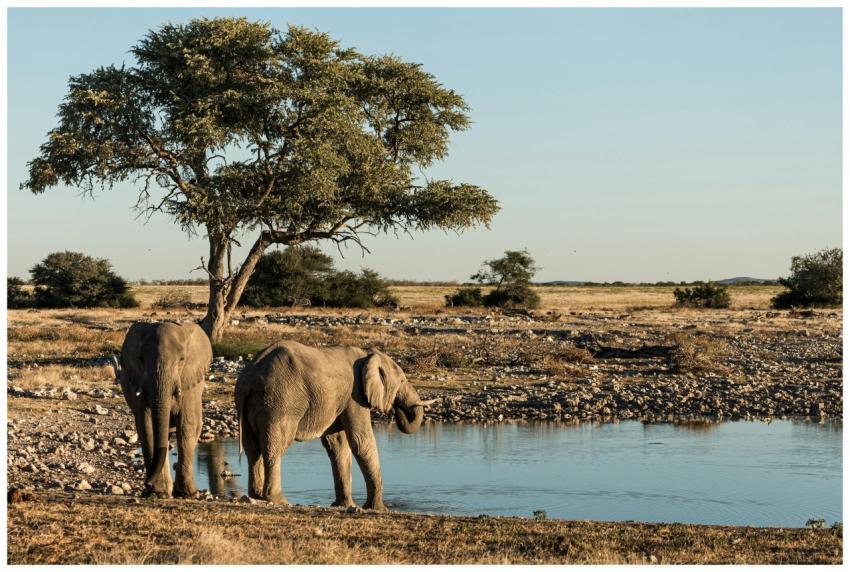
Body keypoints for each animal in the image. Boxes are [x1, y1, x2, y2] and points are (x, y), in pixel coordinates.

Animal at [111, 321, 212, 498]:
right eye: (141, 359)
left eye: (182, 359)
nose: (146, 484)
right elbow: (147, 426)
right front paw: (159, 492)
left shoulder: (188, 382)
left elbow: (186, 425)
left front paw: (187, 494)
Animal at [235, 341, 436, 509]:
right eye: (402, 381)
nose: (397, 411)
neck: (368, 353)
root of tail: (249, 377)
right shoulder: (355, 396)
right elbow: (360, 440)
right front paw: (378, 509)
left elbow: (337, 444)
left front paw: (345, 505)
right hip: (279, 402)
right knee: (275, 447)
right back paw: (279, 500)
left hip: (251, 406)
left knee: (252, 449)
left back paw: (256, 496)